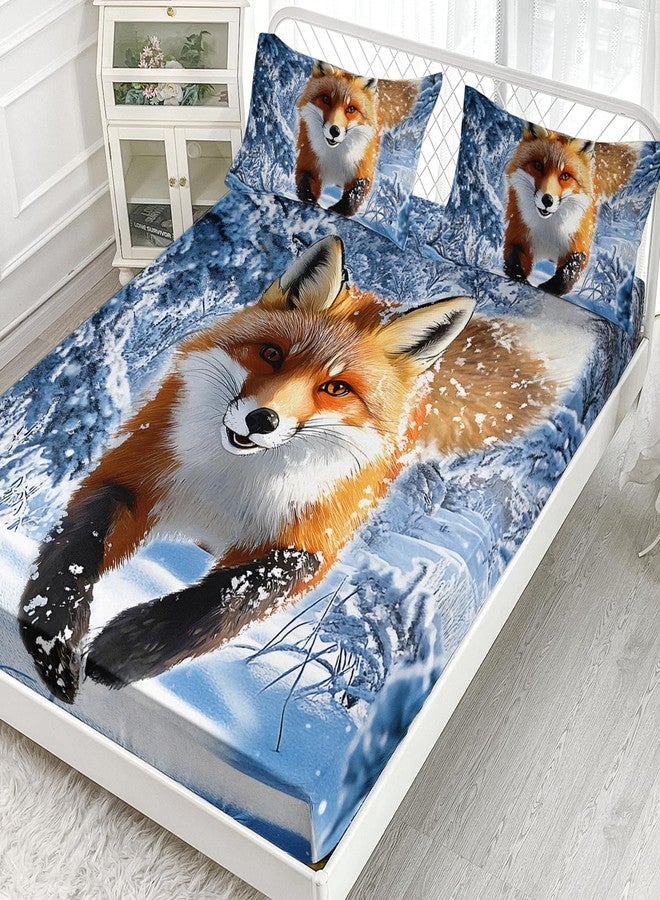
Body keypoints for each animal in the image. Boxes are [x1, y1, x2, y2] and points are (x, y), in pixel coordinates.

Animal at [19, 236, 572, 704]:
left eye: (336, 388)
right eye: (271, 354)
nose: (260, 420)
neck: (234, 485)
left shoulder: (312, 546)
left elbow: (232, 596)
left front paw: (130, 649)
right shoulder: (132, 473)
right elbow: (74, 551)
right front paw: (52, 636)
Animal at [295, 61, 419, 216]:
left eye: (351, 109)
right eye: (326, 99)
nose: (334, 130)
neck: (335, 156)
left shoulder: (363, 168)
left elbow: (355, 193)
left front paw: (339, 210)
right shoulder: (308, 162)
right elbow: (306, 186)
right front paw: (312, 202)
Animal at [504, 123, 638, 295]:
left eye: (565, 176)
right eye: (538, 166)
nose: (547, 200)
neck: (548, 229)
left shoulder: (578, 242)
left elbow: (570, 270)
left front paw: (549, 288)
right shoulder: (517, 235)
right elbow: (515, 262)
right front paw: (522, 281)